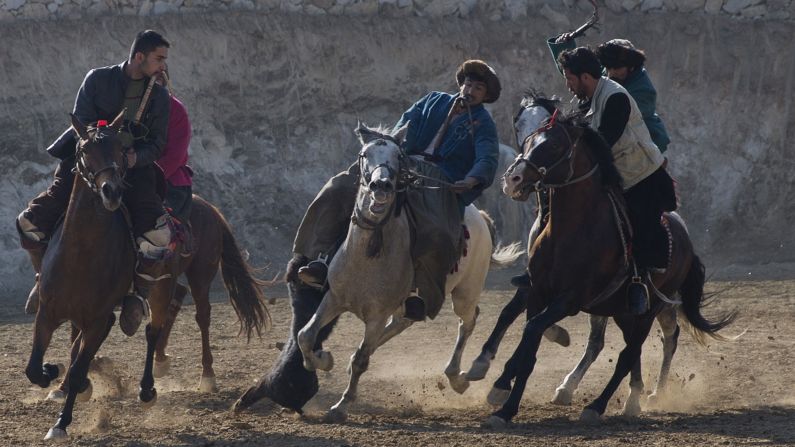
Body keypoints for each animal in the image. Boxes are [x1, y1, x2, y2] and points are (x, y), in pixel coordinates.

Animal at [296, 123, 524, 424]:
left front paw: (342, 405)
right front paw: (321, 360)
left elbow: (361, 361)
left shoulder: (377, 316)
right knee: (400, 324)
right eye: (364, 154)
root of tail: (481, 218)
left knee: (468, 321)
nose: (381, 186)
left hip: (465, 293)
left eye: (398, 157)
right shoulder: (333, 298)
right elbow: (305, 336)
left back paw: (460, 376)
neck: (366, 256)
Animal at [486, 110, 740, 428]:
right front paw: (503, 399)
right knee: (624, 349)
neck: (569, 231)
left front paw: (505, 402)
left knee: (632, 353)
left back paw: (602, 404)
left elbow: (532, 330)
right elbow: (527, 342)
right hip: (621, 311)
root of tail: (686, 239)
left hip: (648, 309)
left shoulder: (568, 300)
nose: (513, 178)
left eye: (555, 145)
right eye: (528, 139)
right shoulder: (537, 293)